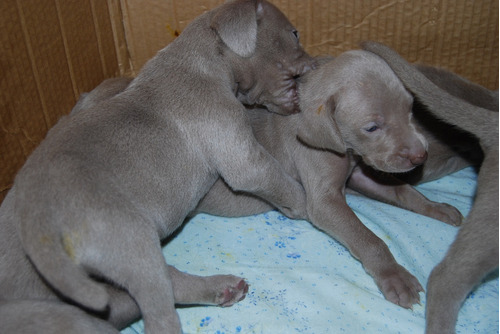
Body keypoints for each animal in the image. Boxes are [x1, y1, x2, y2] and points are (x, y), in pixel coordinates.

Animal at [0, 1, 314, 332]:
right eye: (294, 34)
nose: (315, 66)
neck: (202, 61)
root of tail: (35, 218)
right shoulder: (240, 151)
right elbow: (276, 179)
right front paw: (304, 203)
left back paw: (223, 288)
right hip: (130, 237)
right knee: (157, 308)